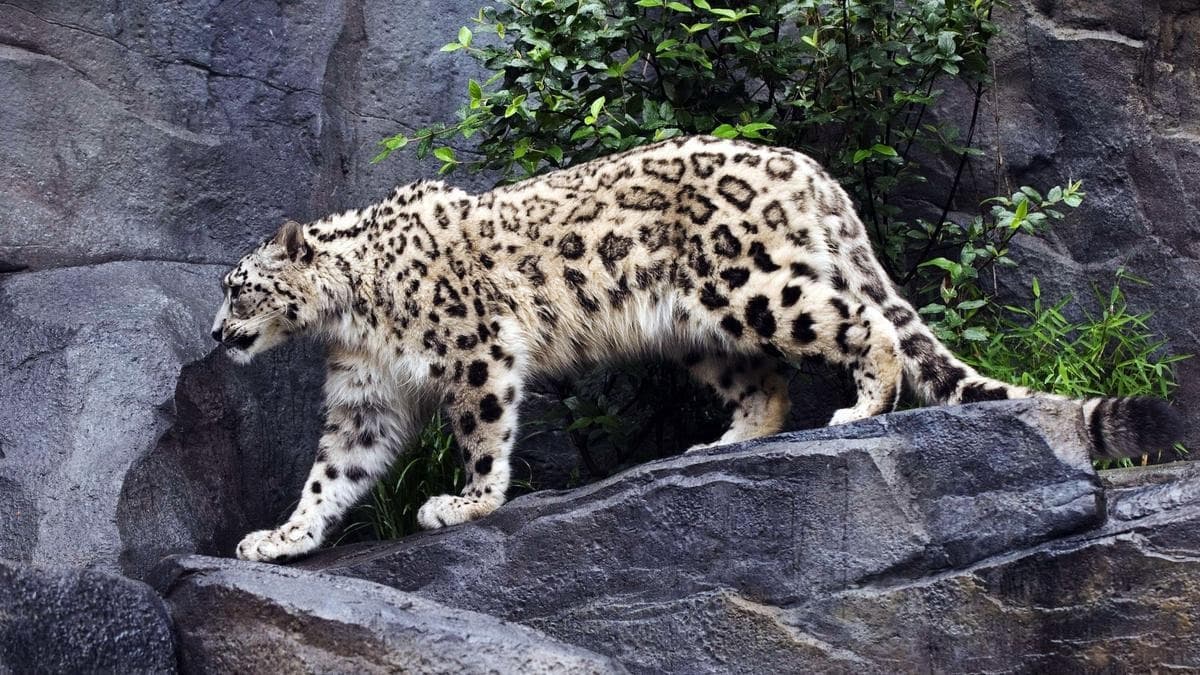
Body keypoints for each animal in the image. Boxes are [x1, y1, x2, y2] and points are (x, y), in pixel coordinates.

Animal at [211, 135, 1184, 563]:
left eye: (238, 287)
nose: (217, 335)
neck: (351, 316)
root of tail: (809, 168)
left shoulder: (474, 352)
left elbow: (484, 432)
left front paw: (466, 503)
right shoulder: (365, 397)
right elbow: (333, 470)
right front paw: (284, 536)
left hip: (750, 285)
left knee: (858, 325)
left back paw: (862, 405)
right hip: (698, 329)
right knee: (767, 386)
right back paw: (719, 443)